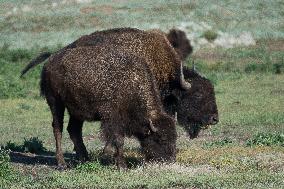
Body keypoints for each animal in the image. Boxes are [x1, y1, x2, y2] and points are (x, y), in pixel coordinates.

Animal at [39, 47, 176, 168]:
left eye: (174, 137)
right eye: (161, 139)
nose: (170, 160)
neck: (131, 83)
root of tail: (49, 62)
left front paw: (108, 156)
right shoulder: (113, 118)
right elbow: (119, 141)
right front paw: (122, 166)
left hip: (76, 111)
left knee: (73, 130)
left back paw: (85, 158)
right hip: (55, 102)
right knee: (58, 129)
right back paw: (62, 163)